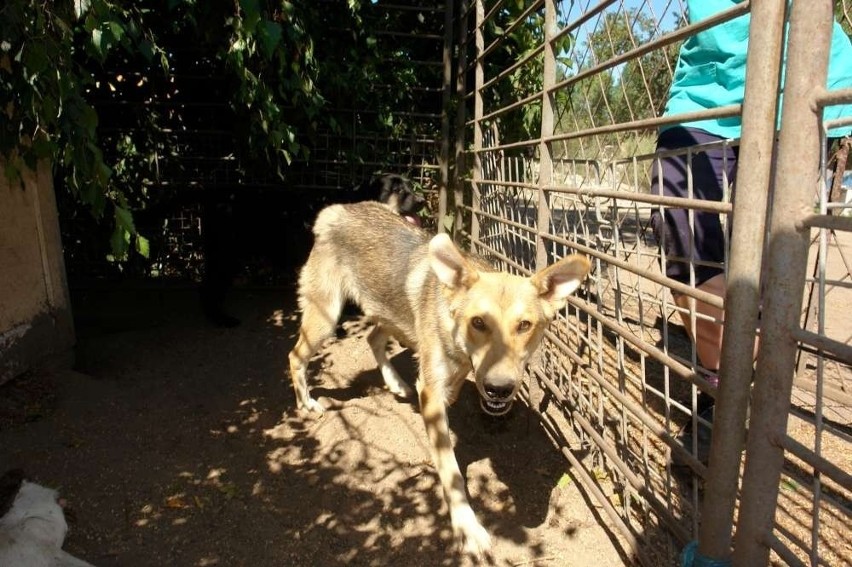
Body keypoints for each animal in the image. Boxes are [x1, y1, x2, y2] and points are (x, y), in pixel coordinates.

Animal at [290, 201, 588, 560]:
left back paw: (396, 383)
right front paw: (467, 526)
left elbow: (452, 394)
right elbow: (451, 471)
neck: (457, 339)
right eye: (479, 322)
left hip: (388, 316)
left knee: (373, 339)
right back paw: (306, 403)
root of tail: (338, 210)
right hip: (326, 317)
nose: (499, 389)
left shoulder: (453, 377)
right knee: (296, 356)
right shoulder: (432, 393)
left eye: (524, 325)